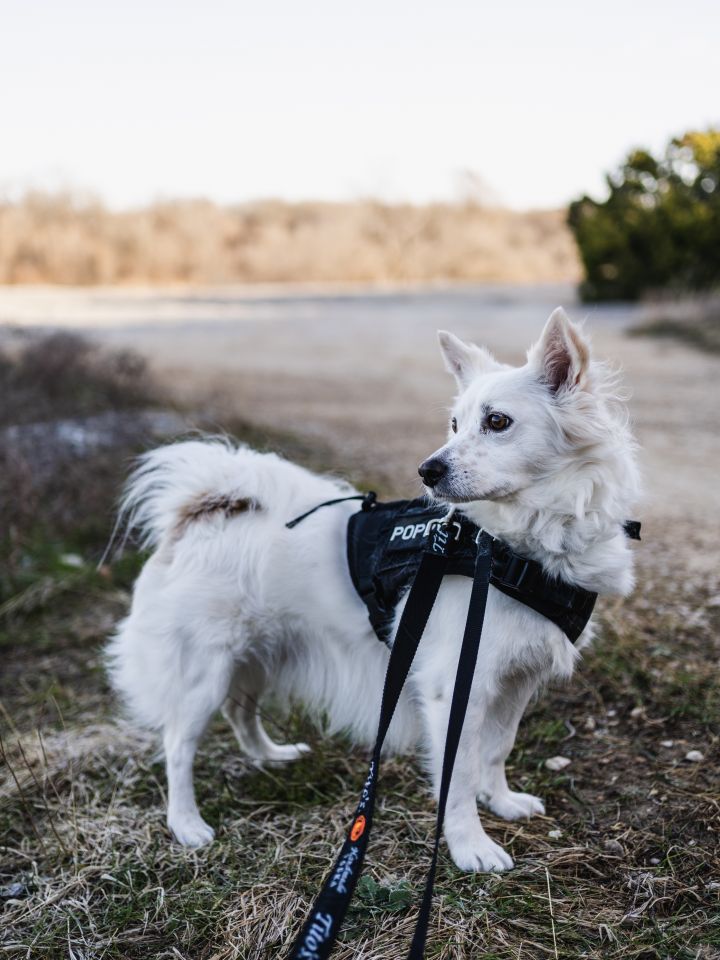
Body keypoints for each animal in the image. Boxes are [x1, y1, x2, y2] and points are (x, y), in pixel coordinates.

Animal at [105, 308, 636, 872]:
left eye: (497, 422)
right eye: (454, 424)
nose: (427, 470)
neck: (505, 549)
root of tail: (204, 508)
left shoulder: (515, 681)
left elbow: (496, 749)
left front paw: (502, 801)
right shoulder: (455, 688)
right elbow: (457, 774)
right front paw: (469, 845)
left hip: (259, 652)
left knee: (240, 710)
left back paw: (271, 756)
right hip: (204, 669)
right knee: (179, 743)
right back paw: (186, 823)